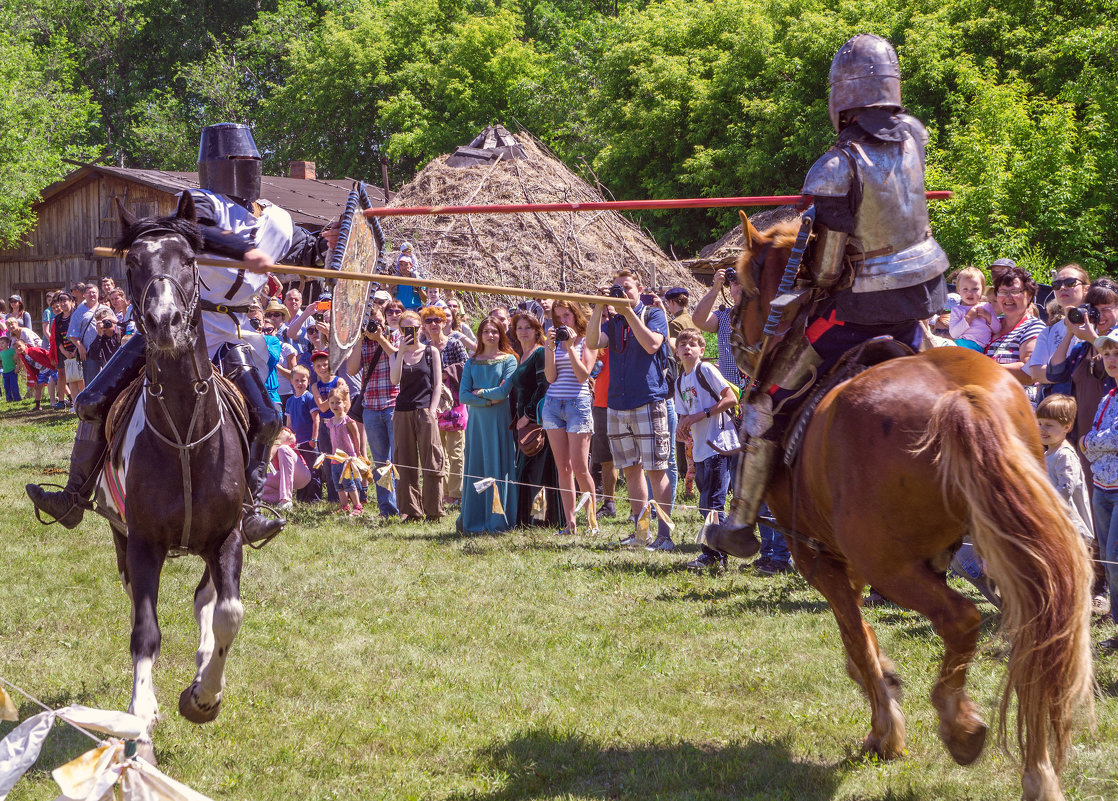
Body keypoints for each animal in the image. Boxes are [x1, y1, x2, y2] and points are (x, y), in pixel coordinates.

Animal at [96, 192, 247, 756]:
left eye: (188, 259)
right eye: (133, 263)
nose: (164, 320)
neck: (184, 429)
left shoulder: (228, 536)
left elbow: (228, 612)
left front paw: (203, 697)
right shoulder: (142, 543)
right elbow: (145, 629)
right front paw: (142, 715)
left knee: (208, 599)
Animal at [733, 211, 1091, 801]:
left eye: (742, 289)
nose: (744, 347)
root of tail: (961, 399)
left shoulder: (820, 556)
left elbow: (856, 636)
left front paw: (885, 729)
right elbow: (862, 637)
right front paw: (887, 685)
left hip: (892, 564)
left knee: (963, 619)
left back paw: (959, 725)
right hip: (1015, 553)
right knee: (1036, 642)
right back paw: (1038, 773)